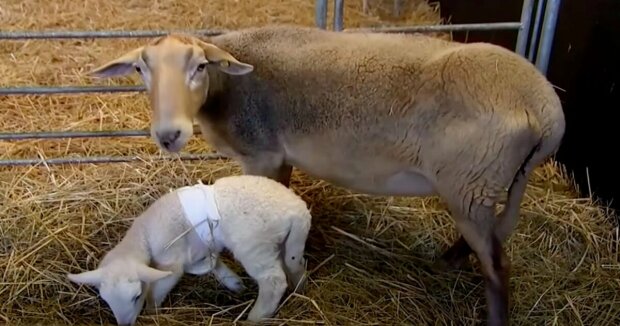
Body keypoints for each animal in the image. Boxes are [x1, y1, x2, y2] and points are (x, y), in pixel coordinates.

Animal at [66, 176, 314, 326]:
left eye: (136, 296)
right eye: (105, 299)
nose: (124, 325)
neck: (144, 236)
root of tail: (297, 211)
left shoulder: (171, 261)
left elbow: (159, 287)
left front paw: (153, 313)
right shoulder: (199, 252)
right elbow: (214, 265)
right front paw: (234, 283)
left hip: (254, 245)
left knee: (273, 281)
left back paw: (254, 317)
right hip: (288, 243)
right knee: (295, 264)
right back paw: (299, 289)